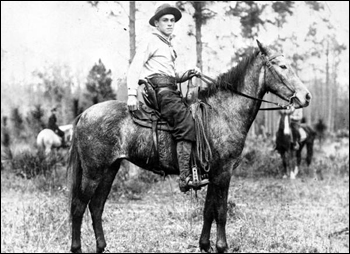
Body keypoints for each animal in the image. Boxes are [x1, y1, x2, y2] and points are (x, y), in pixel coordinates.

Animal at [67, 40, 312, 253]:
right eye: (282, 66)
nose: (306, 96)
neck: (223, 112)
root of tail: (84, 115)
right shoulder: (223, 172)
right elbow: (221, 212)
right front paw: (222, 246)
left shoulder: (212, 174)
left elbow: (208, 211)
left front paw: (205, 245)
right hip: (93, 172)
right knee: (79, 207)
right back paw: (77, 248)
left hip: (110, 169)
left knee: (96, 206)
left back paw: (101, 246)